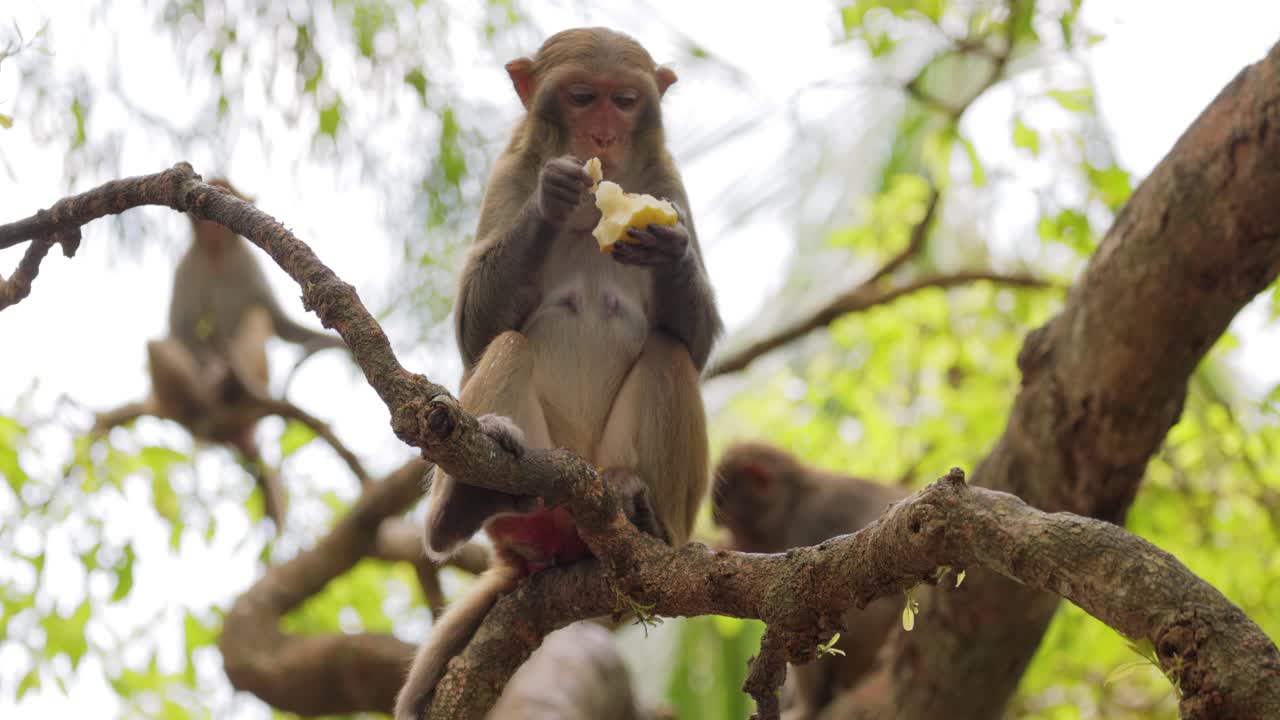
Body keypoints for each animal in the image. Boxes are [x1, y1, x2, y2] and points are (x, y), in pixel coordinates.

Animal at [97, 179, 347, 527]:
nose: (212, 227)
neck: (216, 255)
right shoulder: (187, 268)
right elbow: (180, 331)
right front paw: (211, 373)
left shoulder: (247, 263)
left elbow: (280, 323)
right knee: (158, 347)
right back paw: (201, 406)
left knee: (257, 317)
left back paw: (237, 389)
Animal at [394, 28, 721, 719]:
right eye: (581, 97)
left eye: (624, 100)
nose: (601, 137)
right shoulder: (510, 170)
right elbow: (477, 331)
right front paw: (551, 201)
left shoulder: (669, 180)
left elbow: (696, 344)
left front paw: (670, 248)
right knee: (511, 344)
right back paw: (464, 503)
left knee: (669, 355)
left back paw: (639, 510)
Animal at [712, 442, 908, 720]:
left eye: (734, 525)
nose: (734, 542)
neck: (795, 500)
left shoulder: (805, 524)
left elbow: (805, 609)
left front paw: (808, 708)